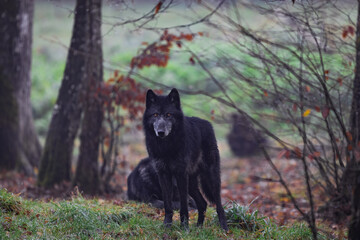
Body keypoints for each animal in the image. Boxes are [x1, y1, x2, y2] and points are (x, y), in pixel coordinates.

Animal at [141, 88, 228, 231]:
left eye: (169, 114)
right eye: (155, 115)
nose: (160, 132)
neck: (166, 147)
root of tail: (208, 124)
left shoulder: (180, 174)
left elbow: (183, 206)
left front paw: (184, 228)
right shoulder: (163, 174)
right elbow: (168, 205)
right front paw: (167, 226)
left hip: (210, 178)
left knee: (219, 205)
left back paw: (224, 229)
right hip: (191, 182)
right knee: (203, 203)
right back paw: (198, 228)